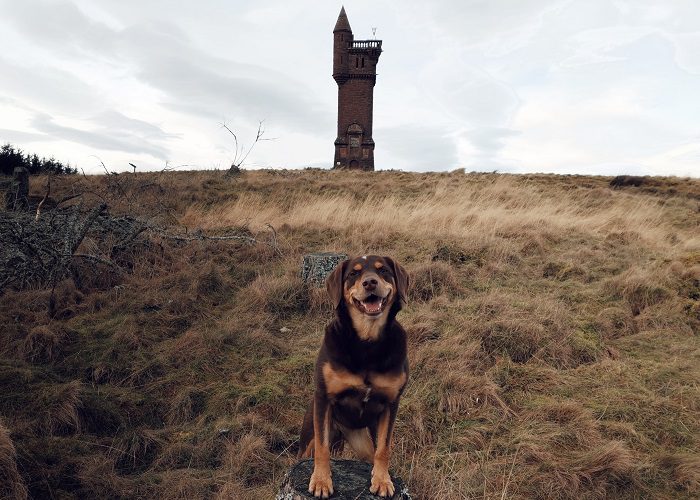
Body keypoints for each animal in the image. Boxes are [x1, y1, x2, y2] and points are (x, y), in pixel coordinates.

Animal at [296, 256, 410, 498]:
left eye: (383, 271)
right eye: (353, 274)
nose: (370, 282)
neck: (367, 343)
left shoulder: (391, 403)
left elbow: (384, 448)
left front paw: (382, 480)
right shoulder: (324, 399)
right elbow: (322, 449)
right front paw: (321, 481)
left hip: (363, 441)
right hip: (310, 438)